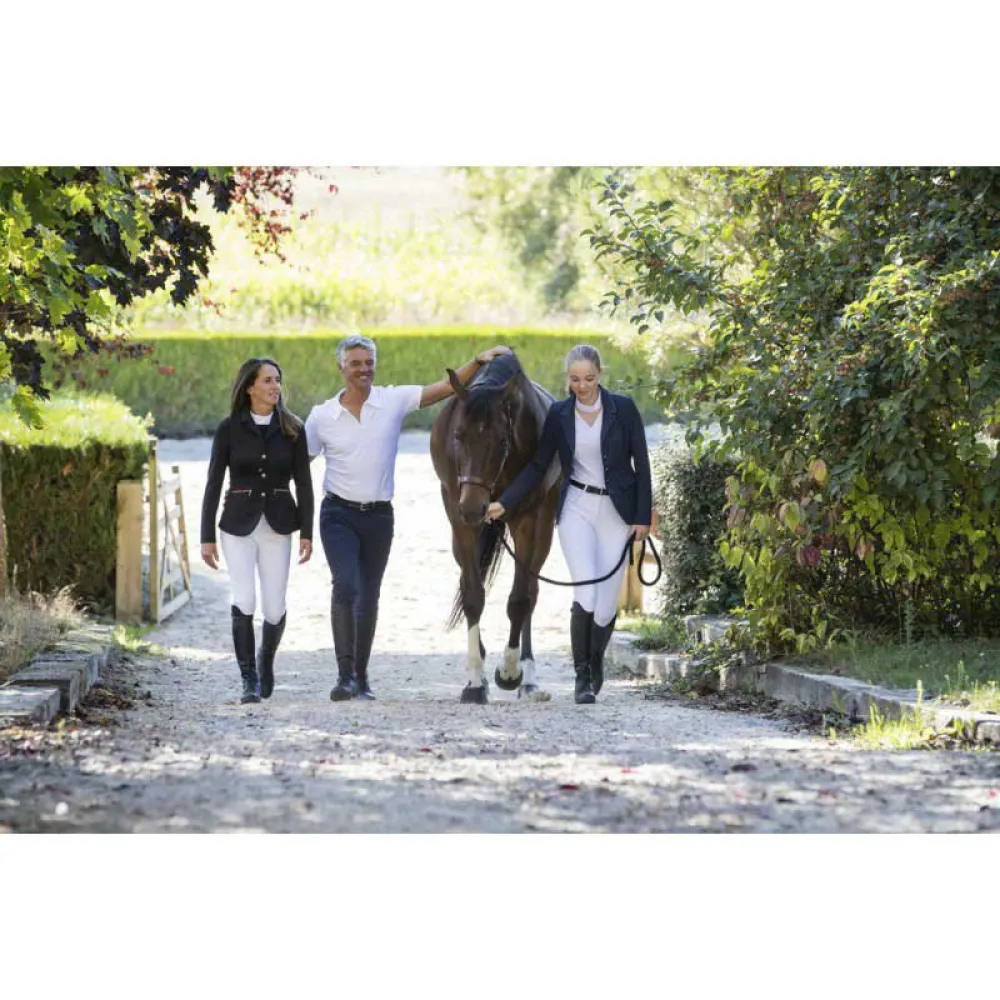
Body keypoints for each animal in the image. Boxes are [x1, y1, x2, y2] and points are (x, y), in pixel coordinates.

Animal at [430, 351, 561, 704]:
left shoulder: (528, 520)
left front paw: (511, 672)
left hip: (544, 526)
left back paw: (528, 679)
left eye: (502, 440)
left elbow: (519, 599)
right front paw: (476, 681)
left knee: (531, 590)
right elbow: (473, 594)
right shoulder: (458, 519)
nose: (474, 508)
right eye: (458, 436)